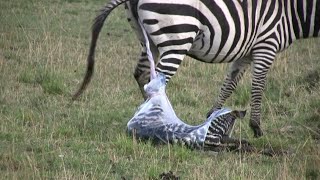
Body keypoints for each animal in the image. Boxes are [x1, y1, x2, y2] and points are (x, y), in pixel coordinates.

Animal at [73, 0, 320, 138]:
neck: (294, 10)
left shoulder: (247, 51)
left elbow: (229, 83)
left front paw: (212, 116)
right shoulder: (267, 43)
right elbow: (258, 87)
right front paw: (257, 128)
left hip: (147, 39)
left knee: (141, 74)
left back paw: (150, 119)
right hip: (177, 36)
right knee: (155, 80)